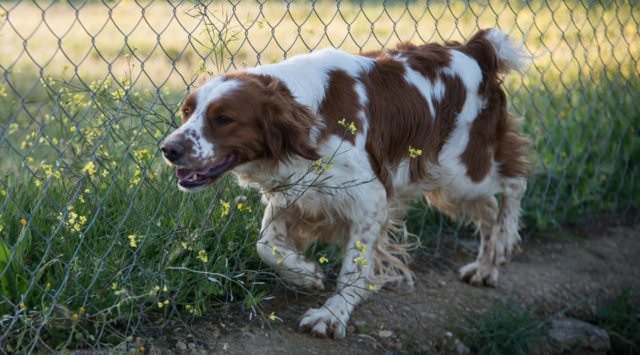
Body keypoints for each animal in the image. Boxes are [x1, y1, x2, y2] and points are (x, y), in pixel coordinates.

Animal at [161, 27, 528, 340]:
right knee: (488, 209)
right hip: (448, 184)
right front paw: (305, 273)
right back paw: (485, 267)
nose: (169, 149)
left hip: (462, 171)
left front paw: (332, 315)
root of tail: (474, 49)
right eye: (187, 111)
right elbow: (266, 246)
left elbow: (353, 267)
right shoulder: (294, 195)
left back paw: (505, 240)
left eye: (223, 118)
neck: (311, 116)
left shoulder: (370, 199)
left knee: (514, 181)